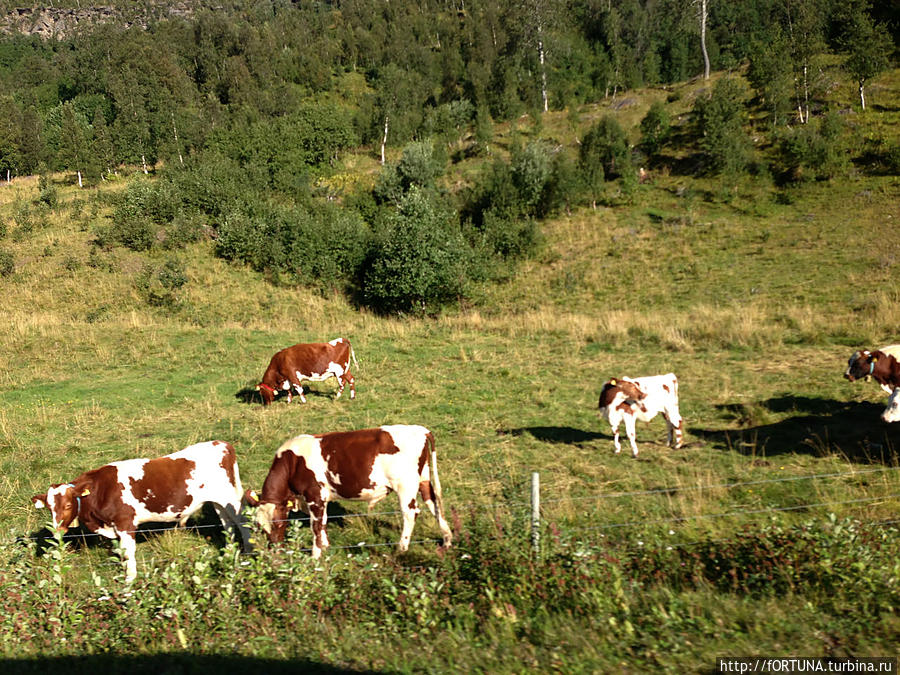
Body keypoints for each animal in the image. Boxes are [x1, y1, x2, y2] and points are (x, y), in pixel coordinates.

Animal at [246, 422, 454, 560]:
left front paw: (315, 555)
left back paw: (401, 548)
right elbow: (323, 522)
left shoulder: (314, 496)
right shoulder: (319, 498)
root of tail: (420, 430)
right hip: (424, 479)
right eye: (260, 528)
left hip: (405, 486)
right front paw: (326, 545)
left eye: (280, 524)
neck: (293, 462)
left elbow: (316, 525)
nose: (274, 553)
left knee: (410, 513)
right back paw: (447, 540)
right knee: (434, 504)